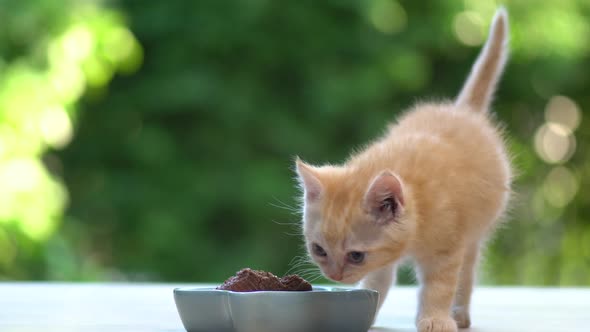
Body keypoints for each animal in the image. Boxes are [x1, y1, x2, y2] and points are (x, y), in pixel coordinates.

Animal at [296, 7, 512, 332]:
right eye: (319, 249)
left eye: (356, 255)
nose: (334, 276)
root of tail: (462, 110)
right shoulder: (385, 258)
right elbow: (378, 282)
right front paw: (368, 314)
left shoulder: (448, 249)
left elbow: (440, 285)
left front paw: (435, 318)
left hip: (476, 230)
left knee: (468, 269)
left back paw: (459, 312)